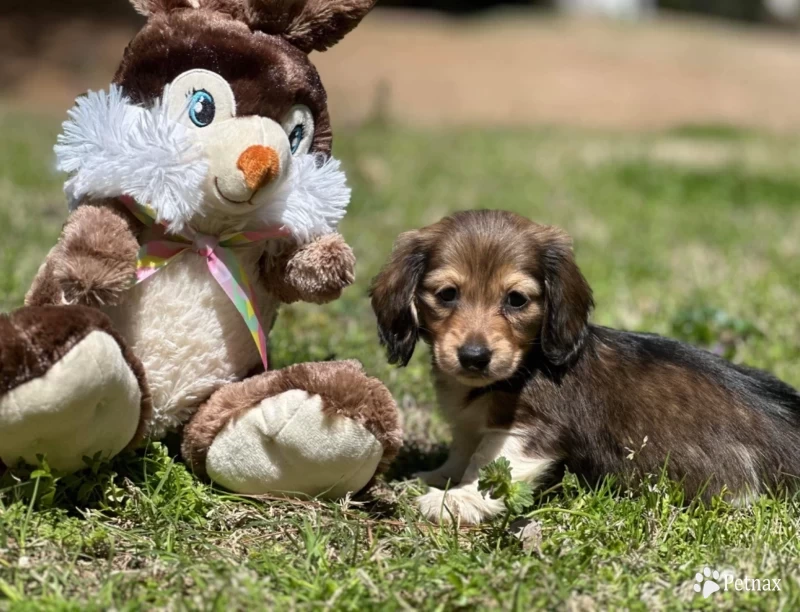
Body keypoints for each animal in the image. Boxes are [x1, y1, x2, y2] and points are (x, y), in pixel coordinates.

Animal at [368, 212, 800, 524]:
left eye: (516, 299)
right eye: (447, 294)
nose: (474, 357)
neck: (527, 363)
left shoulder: (531, 428)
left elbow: (491, 464)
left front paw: (458, 500)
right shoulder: (469, 423)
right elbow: (463, 448)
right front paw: (437, 476)